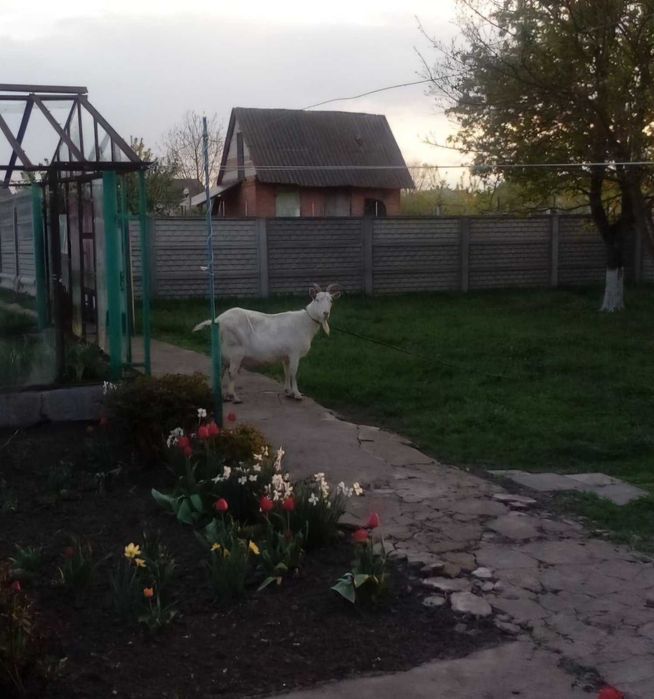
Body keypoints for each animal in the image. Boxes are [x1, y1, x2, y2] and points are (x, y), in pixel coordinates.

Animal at [192, 284, 341, 403]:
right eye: (317, 299)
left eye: (331, 300)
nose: (325, 313)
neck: (305, 322)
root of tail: (218, 319)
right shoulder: (294, 353)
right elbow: (293, 372)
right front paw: (297, 394)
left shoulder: (286, 355)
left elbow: (286, 371)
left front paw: (288, 392)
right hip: (235, 351)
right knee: (231, 372)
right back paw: (234, 397)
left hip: (223, 351)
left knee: (221, 370)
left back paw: (223, 396)